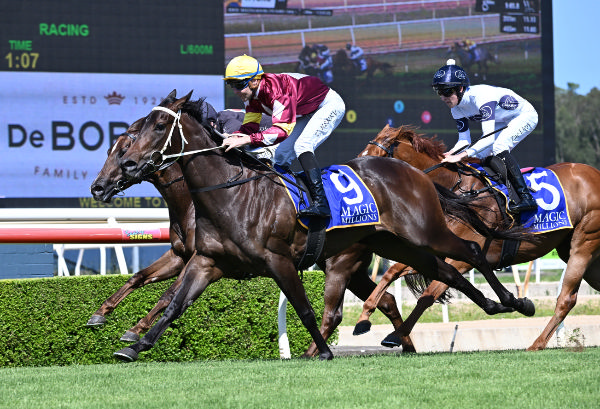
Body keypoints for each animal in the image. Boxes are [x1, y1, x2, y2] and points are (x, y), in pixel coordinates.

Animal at [86, 118, 196, 342]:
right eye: (109, 150)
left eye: (124, 151)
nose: (97, 188)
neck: (188, 204)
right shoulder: (178, 255)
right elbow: (138, 277)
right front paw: (100, 312)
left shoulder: (199, 256)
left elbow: (170, 294)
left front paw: (136, 329)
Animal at [111, 90, 528, 360]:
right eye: (133, 130)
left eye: (159, 124)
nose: (126, 166)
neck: (231, 193)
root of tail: (414, 172)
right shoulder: (206, 261)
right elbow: (174, 304)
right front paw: (134, 344)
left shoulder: (278, 260)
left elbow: (305, 308)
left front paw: (323, 352)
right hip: (398, 243)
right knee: (445, 272)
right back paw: (490, 307)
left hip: (424, 232)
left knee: (469, 251)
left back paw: (514, 300)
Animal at [358, 122, 600, 350]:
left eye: (376, 154)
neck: (458, 194)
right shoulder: (439, 252)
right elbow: (392, 272)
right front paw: (365, 315)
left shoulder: (462, 257)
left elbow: (429, 294)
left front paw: (395, 335)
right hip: (576, 252)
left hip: (584, 242)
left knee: (566, 299)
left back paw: (536, 344)